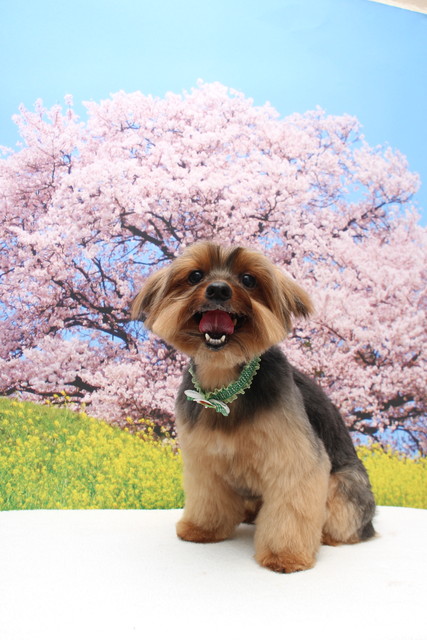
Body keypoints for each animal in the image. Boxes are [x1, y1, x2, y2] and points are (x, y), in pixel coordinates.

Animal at [132, 242, 376, 573]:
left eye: (248, 280)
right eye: (195, 276)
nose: (219, 290)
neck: (224, 386)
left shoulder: (294, 458)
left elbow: (293, 506)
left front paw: (286, 555)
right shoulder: (203, 458)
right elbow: (208, 494)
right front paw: (203, 529)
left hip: (346, 487)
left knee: (344, 522)